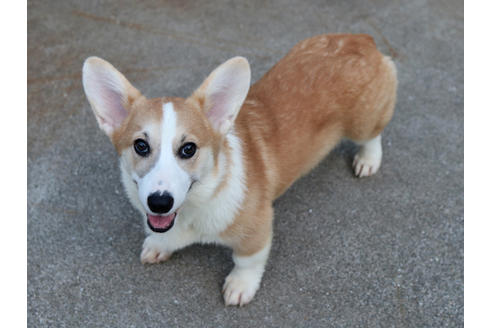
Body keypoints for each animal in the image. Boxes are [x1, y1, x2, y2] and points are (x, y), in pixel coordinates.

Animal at [80, 33, 396, 304]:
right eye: (141, 146)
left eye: (188, 149)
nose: (159, 203)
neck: (195, 206)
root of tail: (362, 40)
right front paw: (161, 244)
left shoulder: (257, 228)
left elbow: (247, 260)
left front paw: (240, 286)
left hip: (362, 123)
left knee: (373, 135)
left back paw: (368, 159)